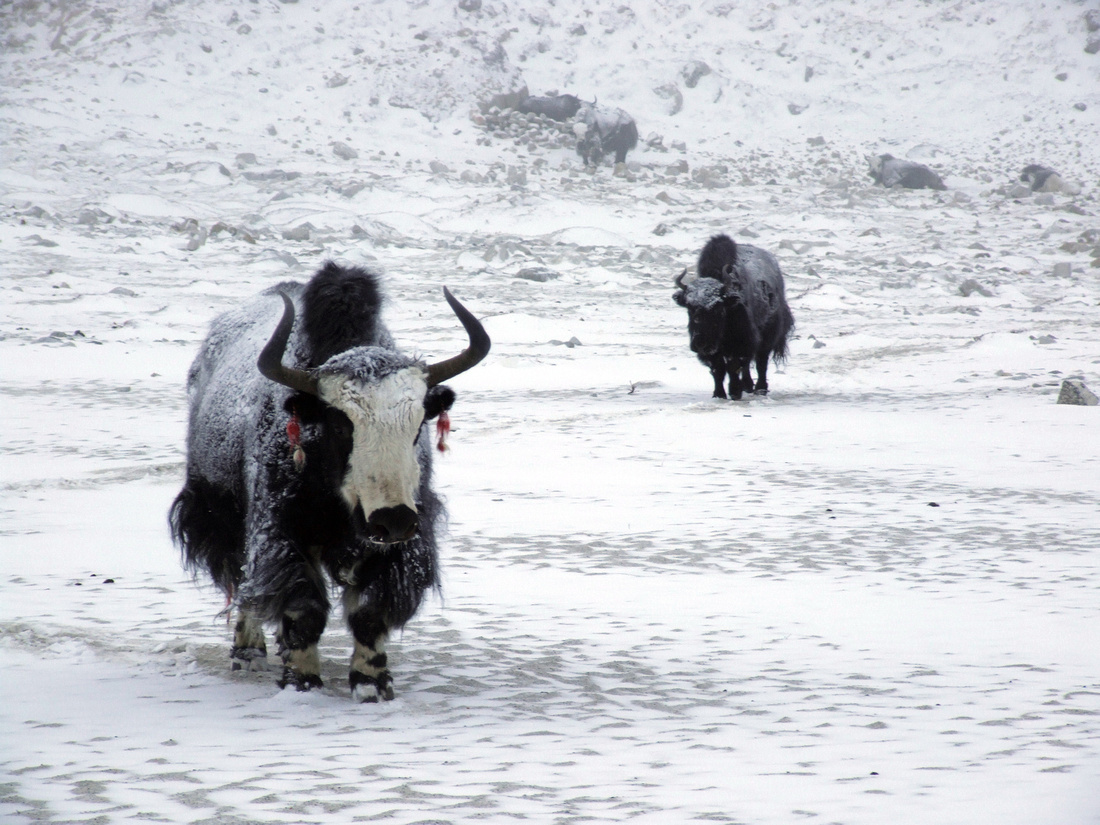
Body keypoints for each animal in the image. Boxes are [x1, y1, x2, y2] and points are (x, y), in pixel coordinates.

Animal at [169, 262, 490, 702]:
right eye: (340, 425)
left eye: (418, 423)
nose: (392, 521)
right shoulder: (281, 530)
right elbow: (303, 607)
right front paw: (302, 680)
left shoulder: (401, 543)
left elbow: (370, 611)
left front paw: (372, 684)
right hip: (222, 515)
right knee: (245, 579)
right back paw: (249, 653)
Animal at [673, 235, 794, 400]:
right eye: (689, 307)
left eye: (718, 307)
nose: (700, 344)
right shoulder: (714, 352)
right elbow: (718, 369)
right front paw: (719, 394)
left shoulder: (741, 342)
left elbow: (733, 366)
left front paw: (735, 392)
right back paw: (748, 386)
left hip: (768, 338)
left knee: (761, 363)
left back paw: (760, 389)